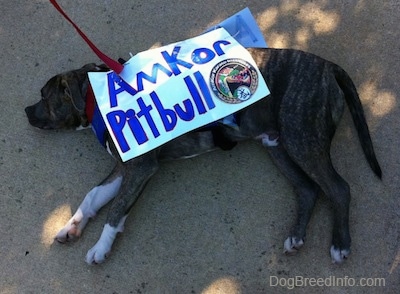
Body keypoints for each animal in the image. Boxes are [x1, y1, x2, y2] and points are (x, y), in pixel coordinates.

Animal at [25, 48, 382, 264]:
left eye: (44, 96)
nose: (26, 111)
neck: (99, 100)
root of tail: (327, 66)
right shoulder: (123, 169)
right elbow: (92, 197)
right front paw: (71, 226)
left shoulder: (140, 169)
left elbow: (114, 212)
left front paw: (100, 247)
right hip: (278, 145)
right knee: (308, 189)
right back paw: (295, 237)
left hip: (302, 139)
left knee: (338, 188)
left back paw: (340, 244)